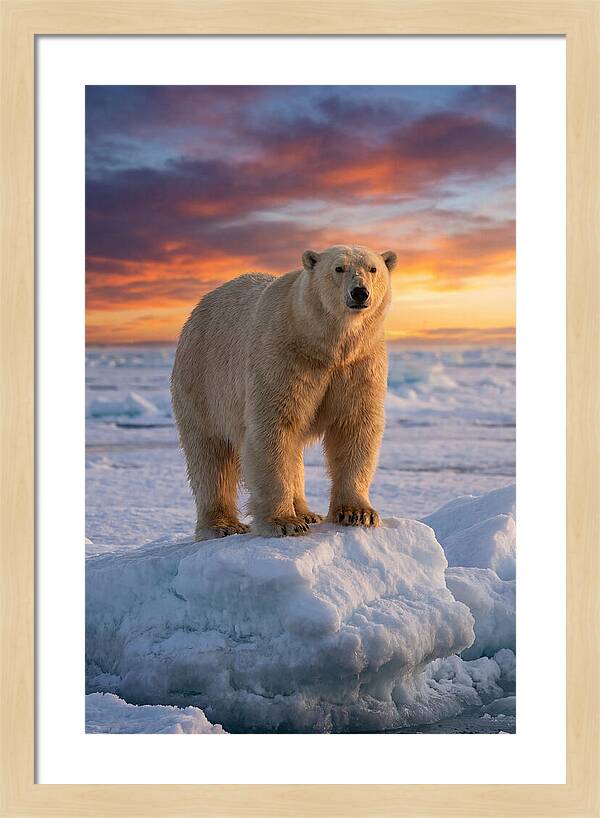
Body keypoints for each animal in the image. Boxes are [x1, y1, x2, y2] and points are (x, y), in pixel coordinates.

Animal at [171, 244, 397, 540]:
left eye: (373, 269)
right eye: (338, 268)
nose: (360, 292)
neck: (323, 344)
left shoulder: (360, 363)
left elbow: (355, 426)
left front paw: (358, 513)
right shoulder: (282, 356)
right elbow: (273, 428)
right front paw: (285, 522)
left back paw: (307, 512)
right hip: (202, 379)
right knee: (210, 455)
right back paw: (222, 525)